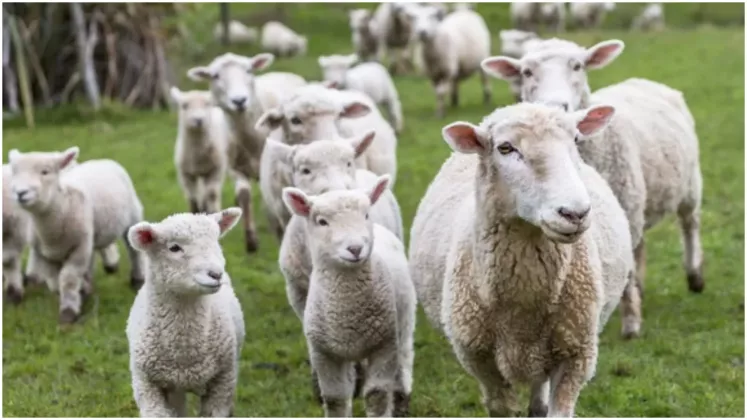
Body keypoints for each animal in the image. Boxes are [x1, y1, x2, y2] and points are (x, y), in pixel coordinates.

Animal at [8, 147, 146, 324]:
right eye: (15, 172)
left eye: (45, 172)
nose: (20, 193)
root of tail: (100, 160)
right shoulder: (46, 255)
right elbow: (56, 281)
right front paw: (80, 294)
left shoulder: (79, 248)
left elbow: (68, 279)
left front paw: (68, 313)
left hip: (133, 216)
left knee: (134, 252)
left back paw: (137, 280)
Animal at [125, 208, 245, 417]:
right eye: (174, 248)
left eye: (216, 241)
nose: (216, 274)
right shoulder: (146, 385)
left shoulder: (222, 382)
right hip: (174, 389)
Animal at [187, 52, 307, 253]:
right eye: (215, 76)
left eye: (249, 70)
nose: (239, 101)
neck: (249, 135)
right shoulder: (234, 168)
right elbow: (244, 194)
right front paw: (251, 240)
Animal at [408, 103, 633, 417]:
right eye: (505, 148)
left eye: (576, 139)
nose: (575, 213)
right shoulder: (481, 360)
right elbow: (500, 407)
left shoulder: (576, 354)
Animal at [481, 38, 704, 338]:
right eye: (526, 72)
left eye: (578, 66)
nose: (556, 105)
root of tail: (641, 80)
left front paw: (631, 324)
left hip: (688, 184)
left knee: (689, 224)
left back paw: (694, 276)